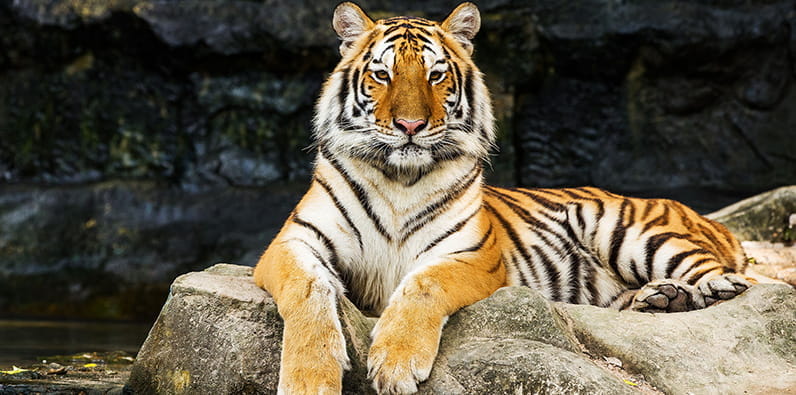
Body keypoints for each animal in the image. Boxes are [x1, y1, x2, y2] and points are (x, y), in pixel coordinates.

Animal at [252, 2, 756, 392]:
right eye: (382, 74)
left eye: (435, 76)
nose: (411, 126)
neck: (400, 177)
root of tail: (703, 216)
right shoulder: (292, 243)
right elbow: (308, 291)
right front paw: (309, 379)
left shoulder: (471, 255)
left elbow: (423, 285)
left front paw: (395, 363)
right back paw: (661, 299)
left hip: (629, 230)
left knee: (720, 272)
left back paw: (705, 288)